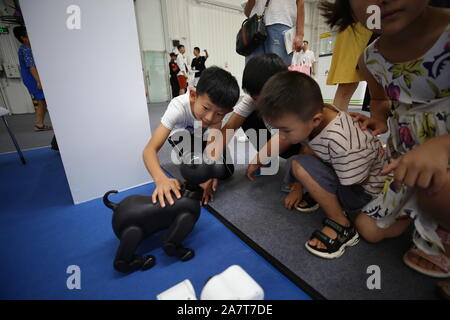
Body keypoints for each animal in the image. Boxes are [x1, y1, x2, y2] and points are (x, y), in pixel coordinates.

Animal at [103, 154, 234, 274]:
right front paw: (185, 253)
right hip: (133, 233)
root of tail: (116, 206)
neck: (188, 194)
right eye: (208, 161)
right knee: (119, 261)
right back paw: (142, 262)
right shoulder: (185, 219)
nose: (227, 165)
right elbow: (168, 244)